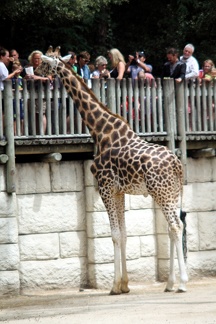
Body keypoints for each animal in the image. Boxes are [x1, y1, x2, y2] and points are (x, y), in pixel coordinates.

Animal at [35, 47, 187, 294]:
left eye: (46, 61)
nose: (35, 70)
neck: (101, 132)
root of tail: (177, 164)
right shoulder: (119, 191)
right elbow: (123, 234)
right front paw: (124, 284)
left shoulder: (105, 187)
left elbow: (114, 235)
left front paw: (115, 286)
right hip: (172, 192)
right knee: (175, 226)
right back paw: (170, 283)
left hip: (161, 192)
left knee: (174, 226)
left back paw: (182, 283)